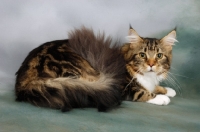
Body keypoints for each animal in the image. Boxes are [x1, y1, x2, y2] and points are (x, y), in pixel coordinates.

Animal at [15, 25, 177, 111]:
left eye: (159, 56)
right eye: (143, 55)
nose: (151, 64)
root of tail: (23, 82)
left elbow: (153, 87)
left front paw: (167, 90)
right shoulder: (123, 86)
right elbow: (141, 92)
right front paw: (161, 97)